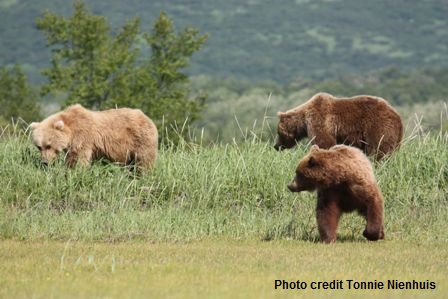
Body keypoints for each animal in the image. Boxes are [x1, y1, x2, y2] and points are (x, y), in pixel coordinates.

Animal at [29, 104, 158, 170]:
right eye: (39, 147)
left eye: (49, 145)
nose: (44, 162)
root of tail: (147, 117)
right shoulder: (72, 145)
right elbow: (71, 157)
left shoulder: (83, 136)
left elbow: (81, 157)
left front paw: (78, 170)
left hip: (140, 140)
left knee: (144, 160)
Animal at [274, 92, 404, 161]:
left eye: (278, 133)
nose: (276, 146)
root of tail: (398, 117)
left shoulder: (319, 121)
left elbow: (324, 143)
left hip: (378, 126)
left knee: (379, 150)